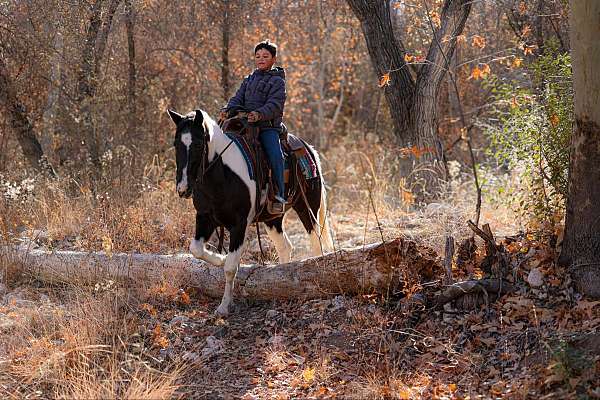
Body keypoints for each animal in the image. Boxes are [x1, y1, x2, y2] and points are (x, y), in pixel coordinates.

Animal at [168, 109, 332, 316]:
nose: (183, 189)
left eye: (197, 144)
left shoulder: (239, 225)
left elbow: (231, 268)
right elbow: (196, 249)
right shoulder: (205, 218)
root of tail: (308, 148)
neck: (222, 176)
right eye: (176, 143)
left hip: (307, 207)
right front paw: (220, 259)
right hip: (273, 219)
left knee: (316, 241)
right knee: (285, 247)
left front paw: (224, 306)